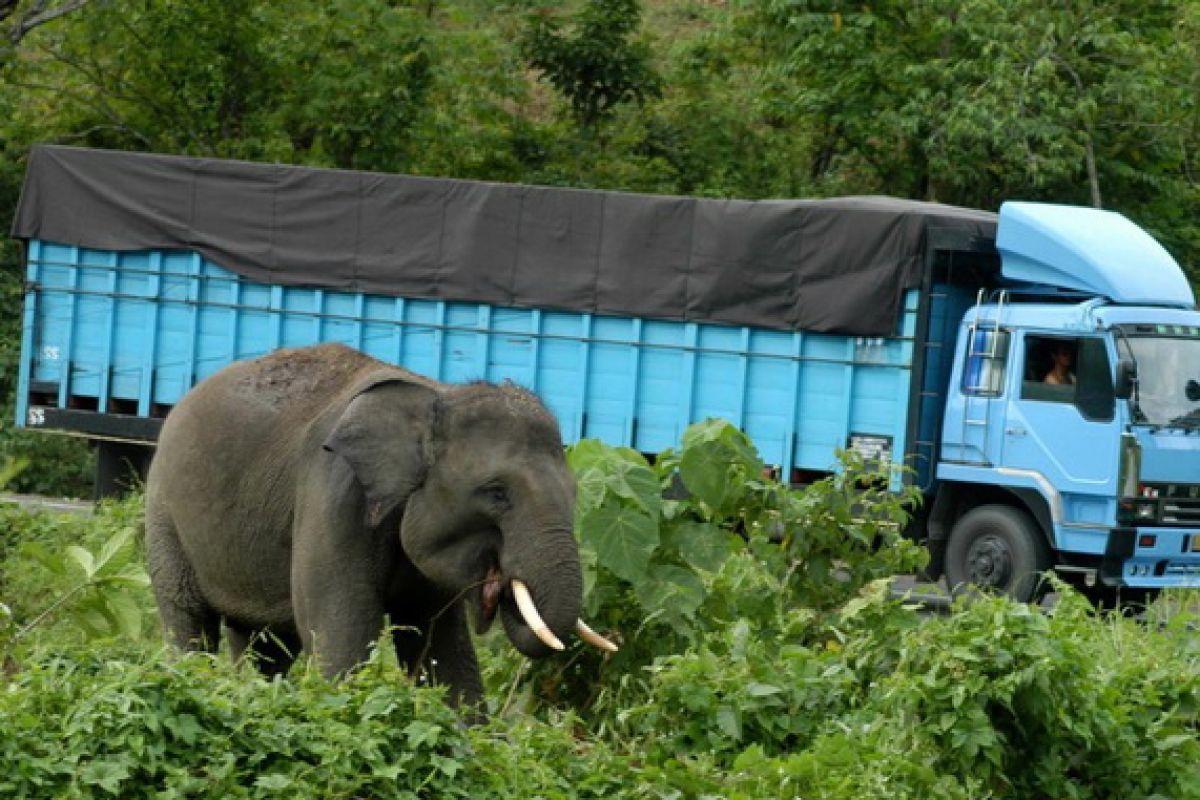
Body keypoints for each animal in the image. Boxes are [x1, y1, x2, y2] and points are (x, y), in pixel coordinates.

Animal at [145, 345, 614, 714]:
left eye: (576, 493)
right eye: (496, 493)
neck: (435, 396)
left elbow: (441, 647)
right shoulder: (332, 495)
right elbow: (344, 637)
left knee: (266, 644)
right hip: (163, 511)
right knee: (189, 618)